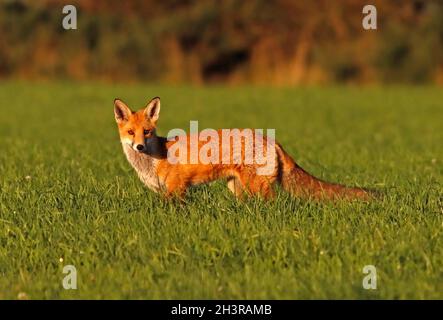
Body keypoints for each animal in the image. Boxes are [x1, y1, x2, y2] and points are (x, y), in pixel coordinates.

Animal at [113, 96, 374, 201]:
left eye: (147, 132)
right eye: (131, 132)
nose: (139, 146)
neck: (154, 159)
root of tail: (270, 139)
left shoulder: (178, 189)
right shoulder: (164, 192)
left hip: (257, 187)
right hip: (237, 188)